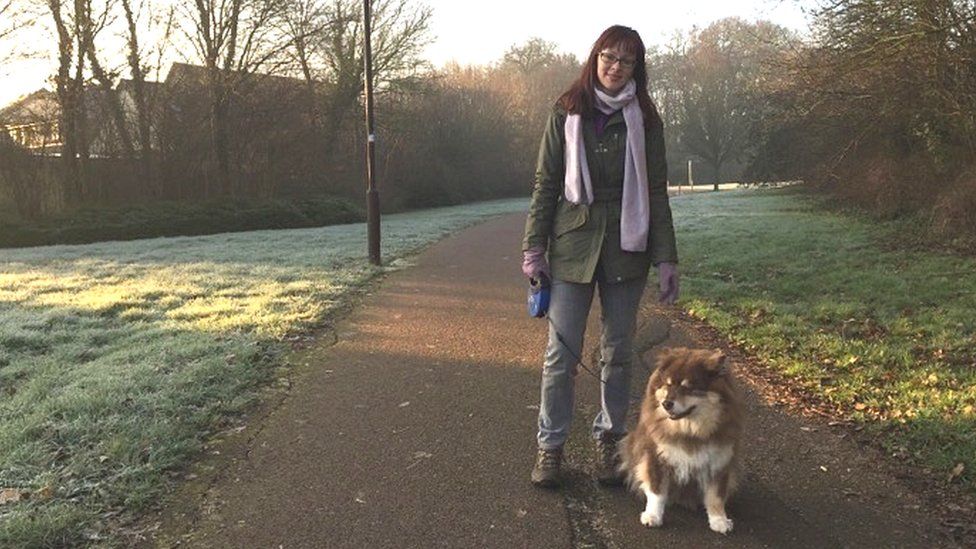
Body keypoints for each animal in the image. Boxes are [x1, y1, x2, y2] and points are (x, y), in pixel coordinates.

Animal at [620, 348, 744, 532]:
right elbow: (657, 491)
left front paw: (719, 520)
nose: (666, 404)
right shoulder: (656, 456)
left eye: (688, 388)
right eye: (668, 384)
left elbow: (716, 496)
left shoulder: (719, 462)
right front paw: (653, 516)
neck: (691, 431)